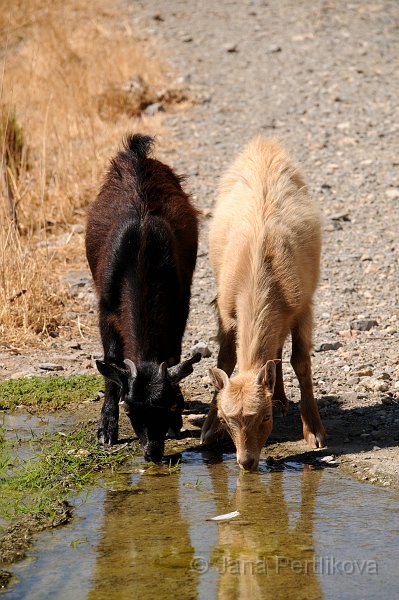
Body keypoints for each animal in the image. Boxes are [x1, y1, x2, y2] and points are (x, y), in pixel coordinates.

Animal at [202, 136, 326, 468]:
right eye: (227, 419)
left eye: (265, 417)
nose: (246, 462)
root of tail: (264, 143)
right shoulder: (226, 311)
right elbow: (225, 360)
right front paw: (208, 430)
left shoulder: (303, 306)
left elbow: (301, 361)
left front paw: (314, 432)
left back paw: (282, 397)